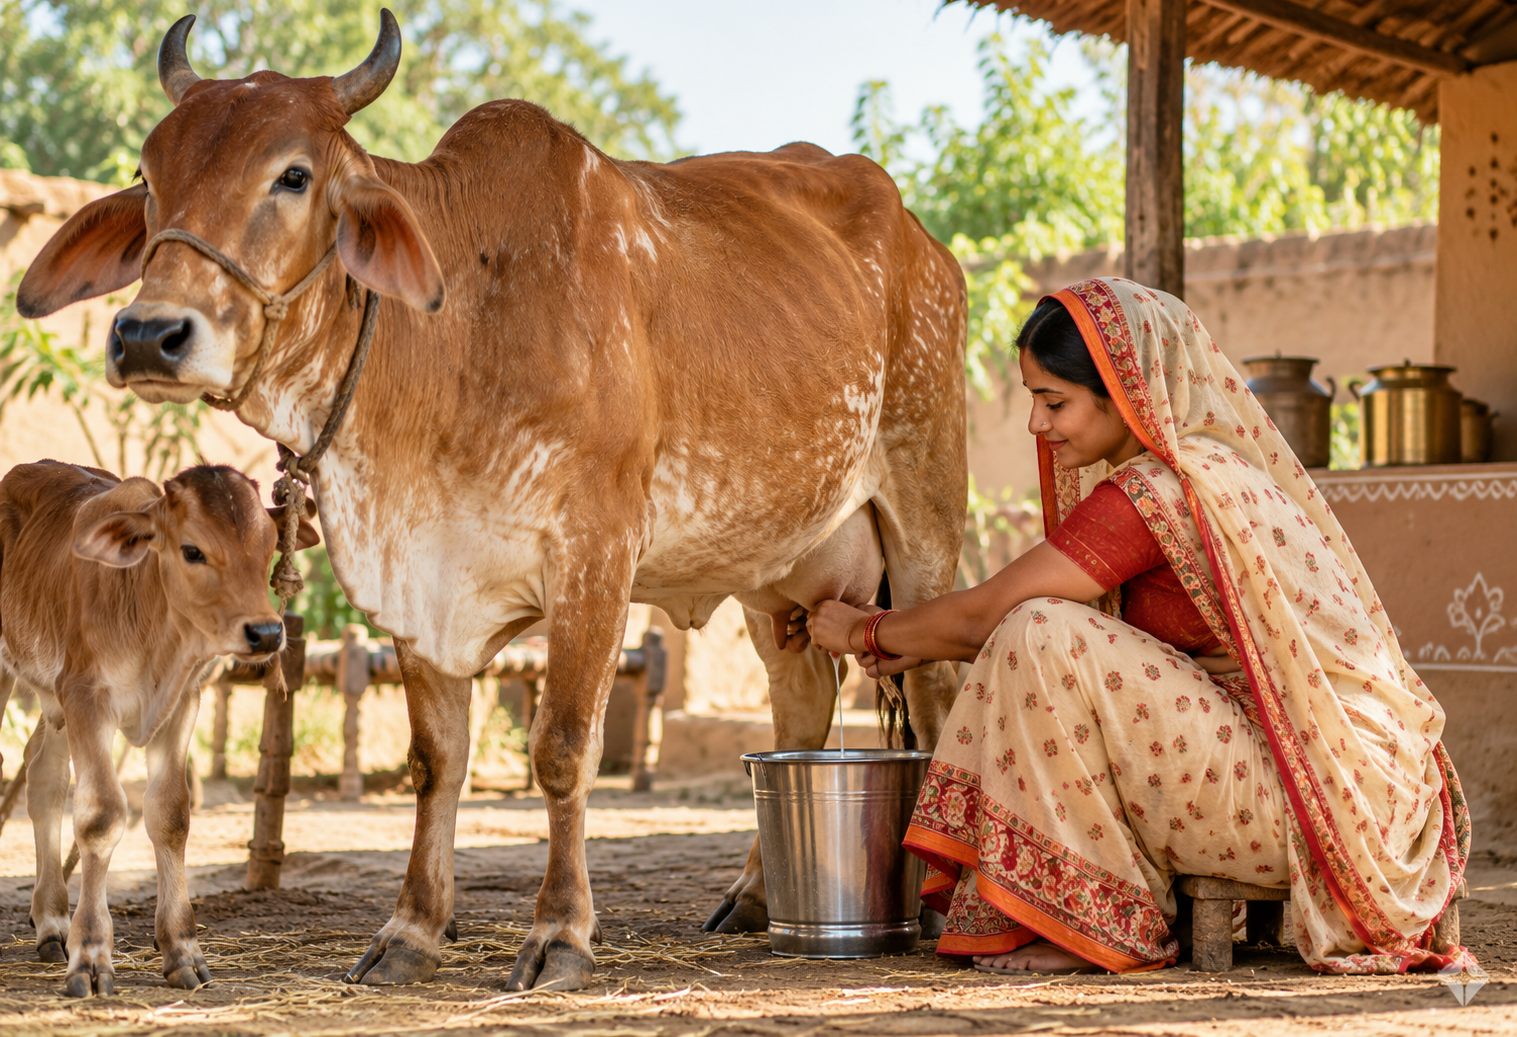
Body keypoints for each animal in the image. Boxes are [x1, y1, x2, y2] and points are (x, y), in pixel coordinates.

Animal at [0, 461, 317, 996]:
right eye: (192, 550)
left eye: (270, 544)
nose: (267, 633)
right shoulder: (87, 698)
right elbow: (101, 816)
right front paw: (92, 955)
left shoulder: (180, 703)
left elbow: (171, 815)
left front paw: (181, 950)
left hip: (54, 703)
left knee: (43, 779)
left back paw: (51, 922)